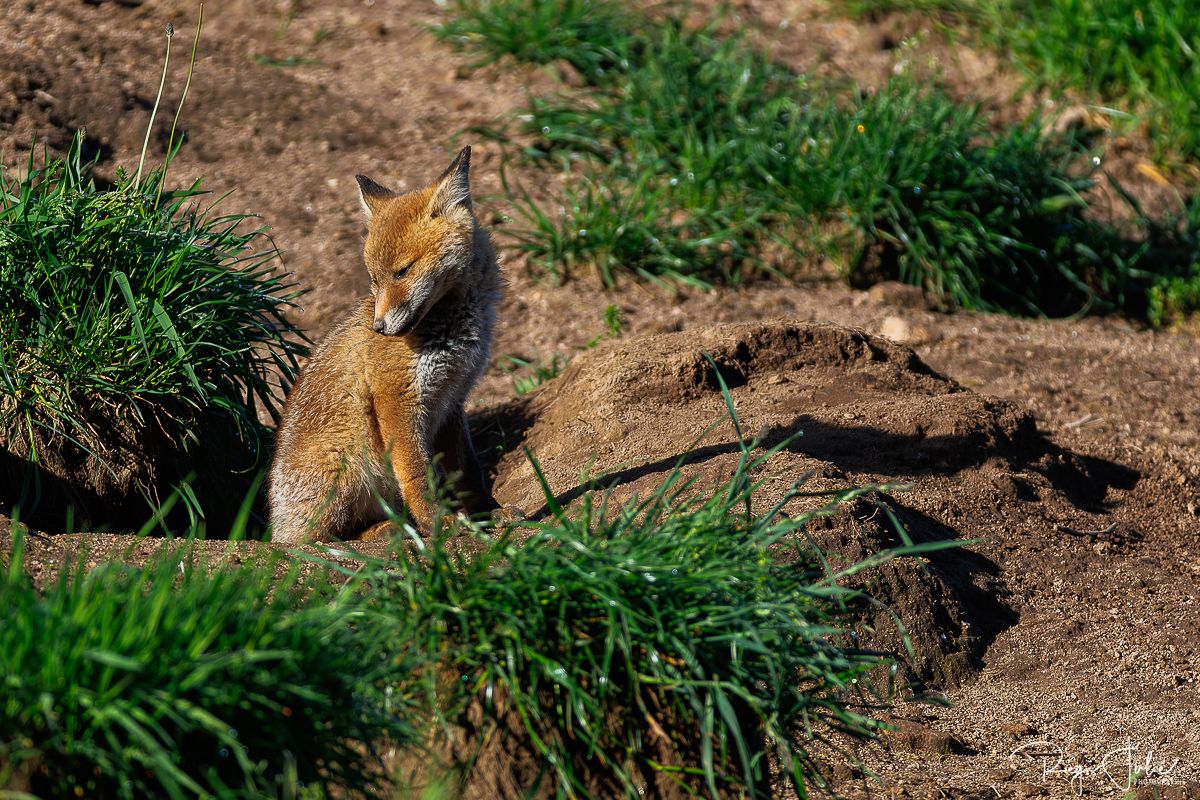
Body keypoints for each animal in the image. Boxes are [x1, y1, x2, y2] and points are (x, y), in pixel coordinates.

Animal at [270, 145, 499, 544]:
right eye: (374, 280)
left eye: (402, 271)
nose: (378, 328)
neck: (454, 328)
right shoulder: (397, 398)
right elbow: (417, 475)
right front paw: (439, 524)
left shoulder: (453, 399)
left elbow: (468, 471)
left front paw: (486, 513)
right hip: (347, 462)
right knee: (319, 541)